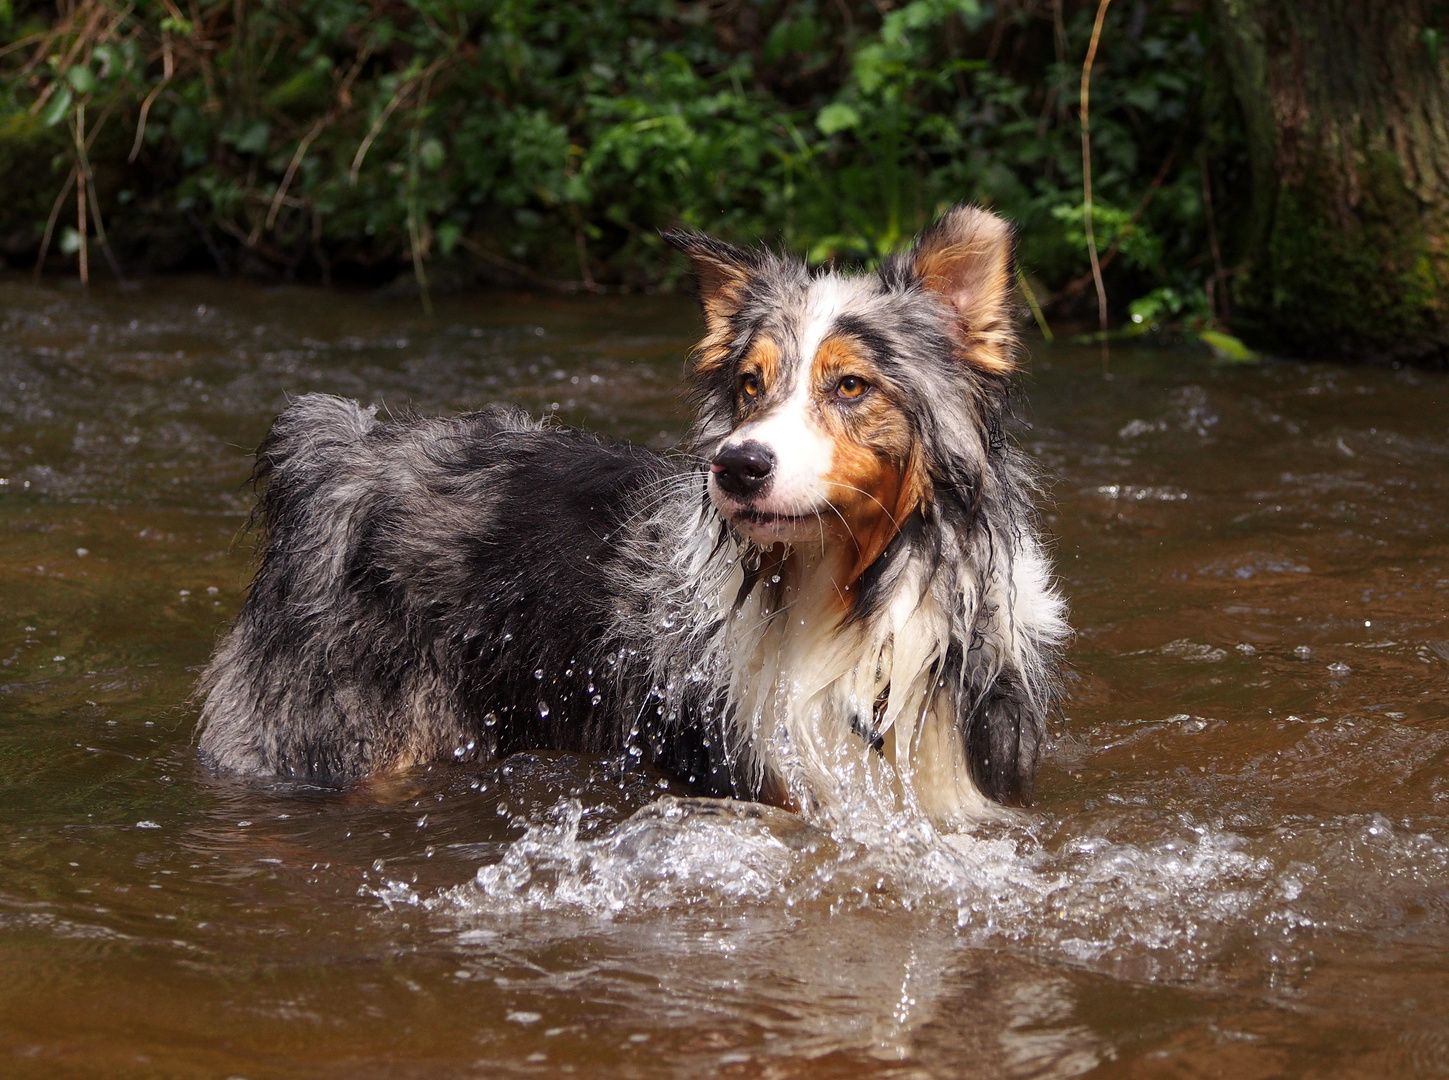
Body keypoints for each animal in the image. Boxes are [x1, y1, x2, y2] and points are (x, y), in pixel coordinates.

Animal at [195, 204, 1066, 823]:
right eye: (749, 384)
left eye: (850, 385)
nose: (736, 466)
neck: (845, 597)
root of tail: (341, 450)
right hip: (327, 734)